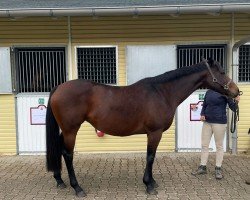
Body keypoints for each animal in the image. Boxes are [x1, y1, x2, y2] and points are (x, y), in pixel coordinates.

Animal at [46, 58, 239, 197]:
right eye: (222, 72)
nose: (236, 91)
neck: (162, 93)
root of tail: (59, 88)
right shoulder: (154, 133)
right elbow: (150, 157)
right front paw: (149, 185)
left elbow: (150, 157)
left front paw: (151, 182)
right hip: (71, 130)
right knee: (68, 154)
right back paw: (77, 188)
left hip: (66, 130)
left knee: (59, 150)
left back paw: (59, 180)